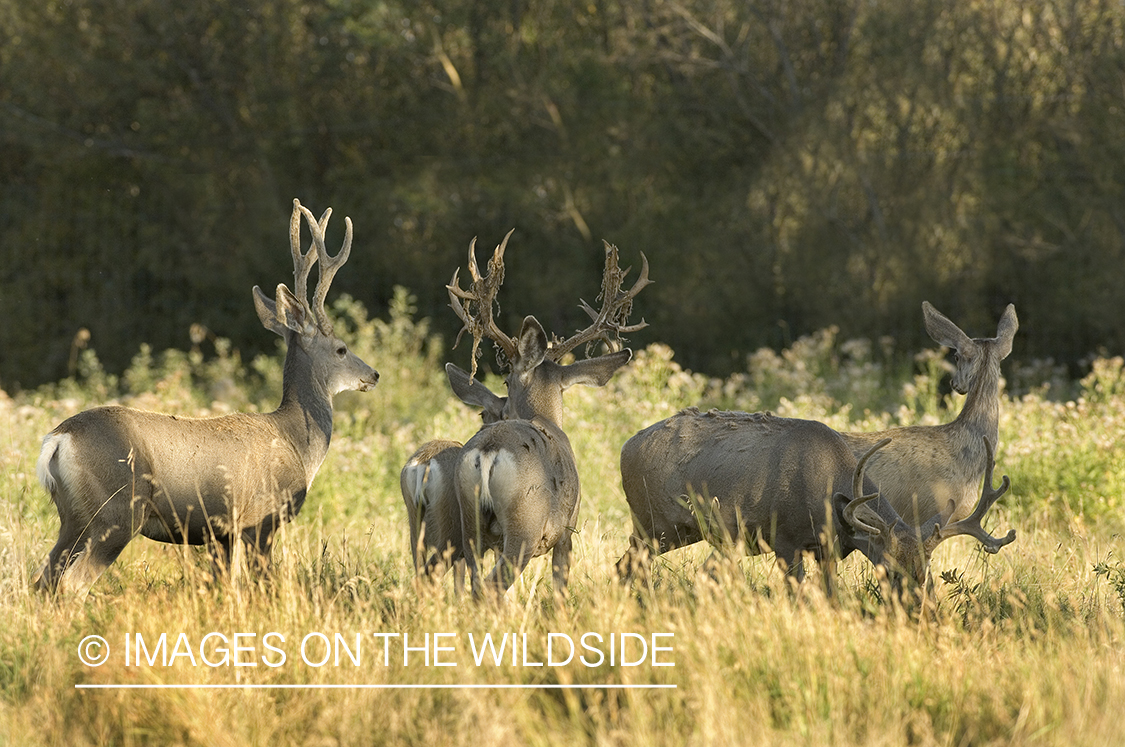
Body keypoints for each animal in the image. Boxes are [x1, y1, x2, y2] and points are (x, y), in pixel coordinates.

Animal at [32, 198, 378, 594]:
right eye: (341, 348)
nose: (373, 374)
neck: (296, 443)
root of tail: (59, 439)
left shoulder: (220, 533)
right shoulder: (260, 519)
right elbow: (262, 584)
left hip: (73, 516)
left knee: (44, 578)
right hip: (117, 512)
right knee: (71, 583)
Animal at [443, 230, 652, 598]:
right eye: (506, 379)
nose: (498, 412)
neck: (545, 418)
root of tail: (488, 452)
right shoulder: (568, 529)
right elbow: (560, 587)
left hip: (471, 524)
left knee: (476, 583)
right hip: (524, 524)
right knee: (493, 587)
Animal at [621, 409, 1017, 589]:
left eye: (927, 575)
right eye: (888, 570)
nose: (923, 613)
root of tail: (626, 446)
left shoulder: (827, 548)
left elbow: (831, 595)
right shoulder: (784, 538)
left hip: (677, 531)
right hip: (652, 522)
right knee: (628, 564)